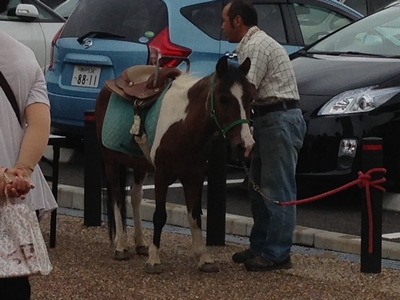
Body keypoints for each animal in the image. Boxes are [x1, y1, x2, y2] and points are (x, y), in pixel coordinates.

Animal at [95, 56, 255, 274]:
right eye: (223, 98)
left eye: (250, 98)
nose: (245, 146)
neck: (184, 126)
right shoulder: (162, 176)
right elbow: (159, 216)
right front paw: (154, 259)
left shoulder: (195, 176)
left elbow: (195, 215)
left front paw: (204, 258)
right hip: (110, 160)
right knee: (117, 198)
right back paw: (121, 246)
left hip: (139, 165)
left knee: (135, 197)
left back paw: (140, 243)